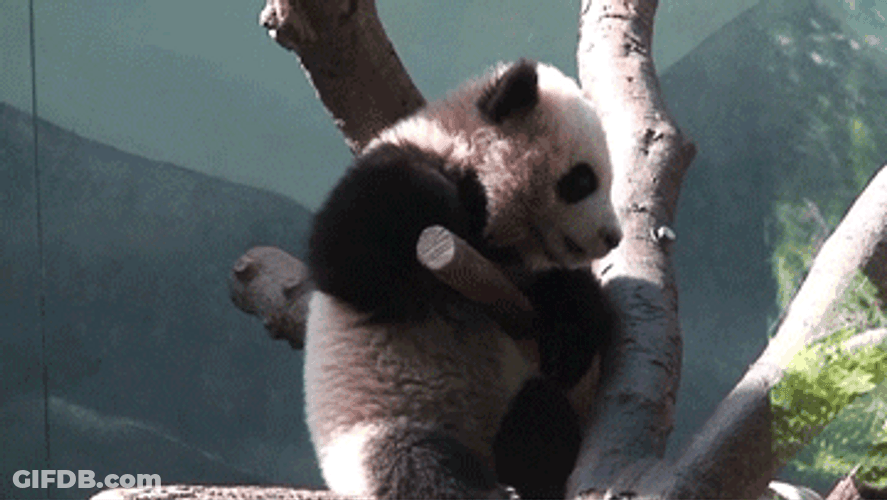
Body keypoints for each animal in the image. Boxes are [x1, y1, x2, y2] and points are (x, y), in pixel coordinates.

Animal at [305, 59, 622, 499]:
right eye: (582, 180)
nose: (613, 236)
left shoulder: (517, 276)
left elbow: (568, 300)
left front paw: (568, 339)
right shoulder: (394, 167)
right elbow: (347, 254)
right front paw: (447, 203)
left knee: (540, 418)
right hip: (378, 424)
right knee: (412, 462)